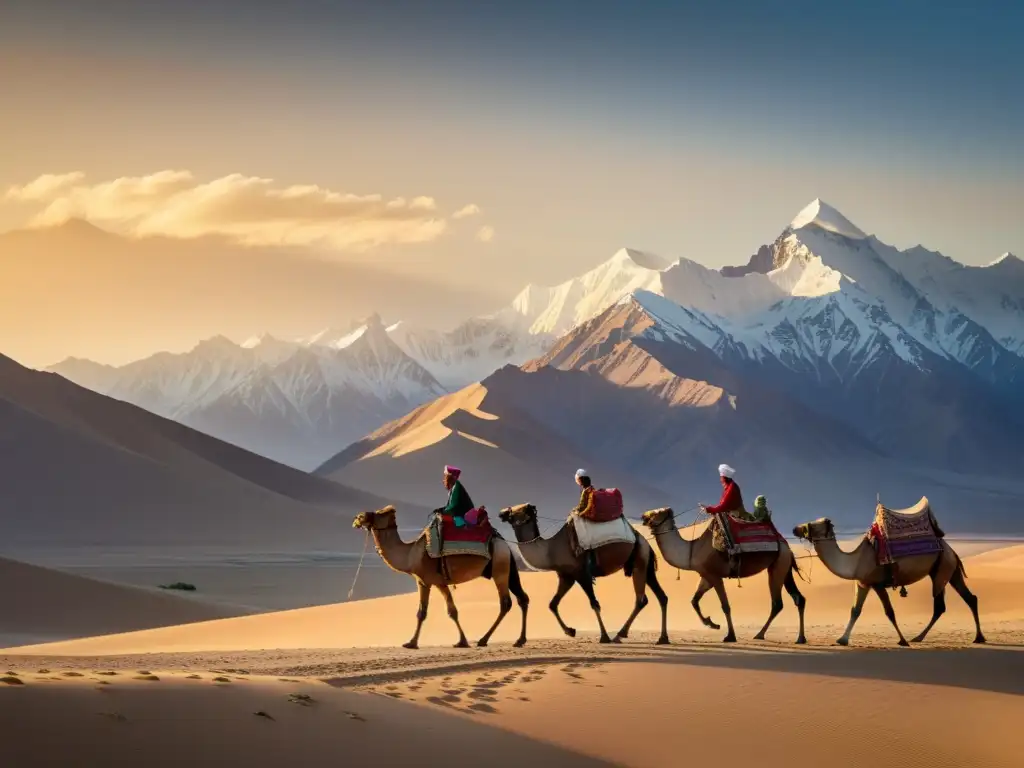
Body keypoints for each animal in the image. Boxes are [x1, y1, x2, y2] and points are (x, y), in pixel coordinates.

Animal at [352, 507, 528, 651]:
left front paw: (411, 643)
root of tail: (505, 544)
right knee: (522, 598)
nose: (358, 518)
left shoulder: (425, 581)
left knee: (506, 603)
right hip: (506, 567)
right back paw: (519, 640)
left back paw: (484, 640)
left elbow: (422, 613)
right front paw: (462, 642)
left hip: (500, 568)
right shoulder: (438, 582)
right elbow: (451, 611)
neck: (410, 554)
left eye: (378, 513)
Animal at [497, 507, 671, 647]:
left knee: (641, 599)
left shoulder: (582, 574)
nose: (501, 513)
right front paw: (570, 631)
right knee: (661, 597)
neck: (551, 549)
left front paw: (604, 636)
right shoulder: (567, 576)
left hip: (639, 561)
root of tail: (644, 541)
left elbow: (594, 604)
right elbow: (553, 604)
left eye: (516, 510)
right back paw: (662, 638)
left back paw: (619, 635)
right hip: (646, 564)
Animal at [638, 512, 806, 643]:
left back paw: (760, 634)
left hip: (779, 565)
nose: (643, 517)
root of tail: (787, 547)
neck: (692, 551)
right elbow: (694, 601)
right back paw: (800, 638)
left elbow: (725, 605)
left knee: (777, 603)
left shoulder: (715, 575)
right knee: (798, 598)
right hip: (784, 566)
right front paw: (712, 623)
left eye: (655, 513)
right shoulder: (706, 575)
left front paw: (730, 635)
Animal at [790, 518, 983, 651]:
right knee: (968, 598)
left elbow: (889, 612)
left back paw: (918, 637)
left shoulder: (877, 584)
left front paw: (902, 640)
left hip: (941, 568)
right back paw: (976, 637)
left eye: (813, 525)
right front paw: (842, 640)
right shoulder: (863, 583)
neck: (855, 561)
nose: (795, 528)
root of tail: (952, 551)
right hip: (949, 570)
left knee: (941, 605)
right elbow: (855, 610)